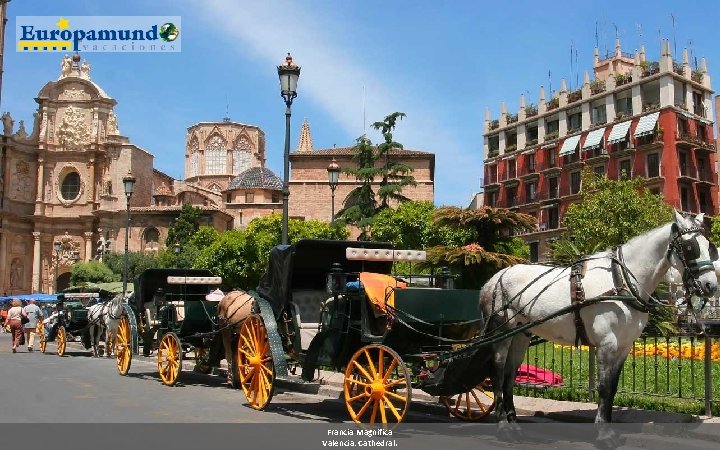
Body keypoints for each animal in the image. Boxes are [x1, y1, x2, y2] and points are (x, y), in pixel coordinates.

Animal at [480, 211, 716, 428]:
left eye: (710, 246)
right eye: (690, 247)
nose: (711, 286)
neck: (621, 280)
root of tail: (492, 279)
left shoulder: (624, 346)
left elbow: (612, 387)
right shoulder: (606, 343)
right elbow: (603, 387)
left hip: (521, 333)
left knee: (510, 372)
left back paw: (512, 417)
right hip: (501, 331)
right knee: (498, 370)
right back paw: (502, 418)